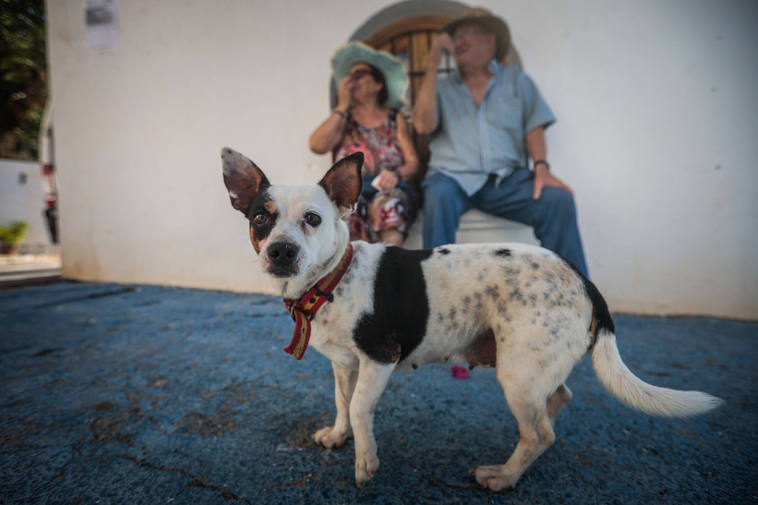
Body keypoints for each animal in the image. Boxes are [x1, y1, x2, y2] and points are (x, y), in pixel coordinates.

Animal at [221, 148, 724, 490]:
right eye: (261, 218)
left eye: (313, 219)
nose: (281, 251)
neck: (333, 277)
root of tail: (583, 280)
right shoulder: (344, 364)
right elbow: (343, 403)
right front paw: (339, 435)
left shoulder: (380, 358)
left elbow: (362, 408)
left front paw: (366, 462)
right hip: (532, 368)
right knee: (556, 400)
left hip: (517, 374)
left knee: (541, 434)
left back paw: (503, 476)